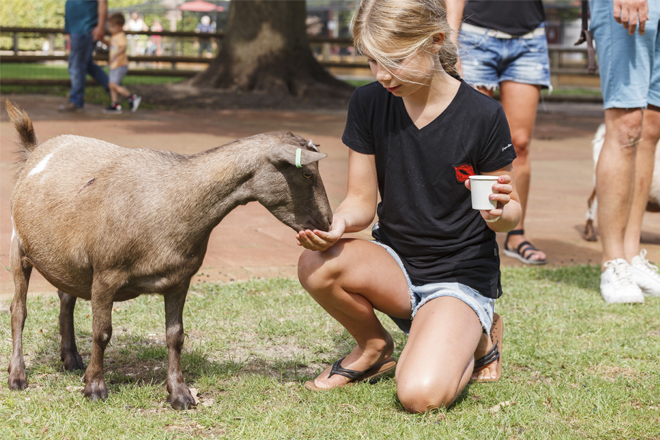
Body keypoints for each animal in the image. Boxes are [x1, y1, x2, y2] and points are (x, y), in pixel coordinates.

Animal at [5, 101, 332, 410]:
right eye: (306, 172)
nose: (327, 222)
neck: (168, 200)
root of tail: (35, 151)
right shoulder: (106, 274)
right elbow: (102, 332)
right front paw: (95, 388)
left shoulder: (179, 278)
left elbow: (175, 336)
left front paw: (180, 394)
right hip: (17, 246)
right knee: (18, 310)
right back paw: (17, 376)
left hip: (65, 257)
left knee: (66, 298)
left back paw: (71, 359)